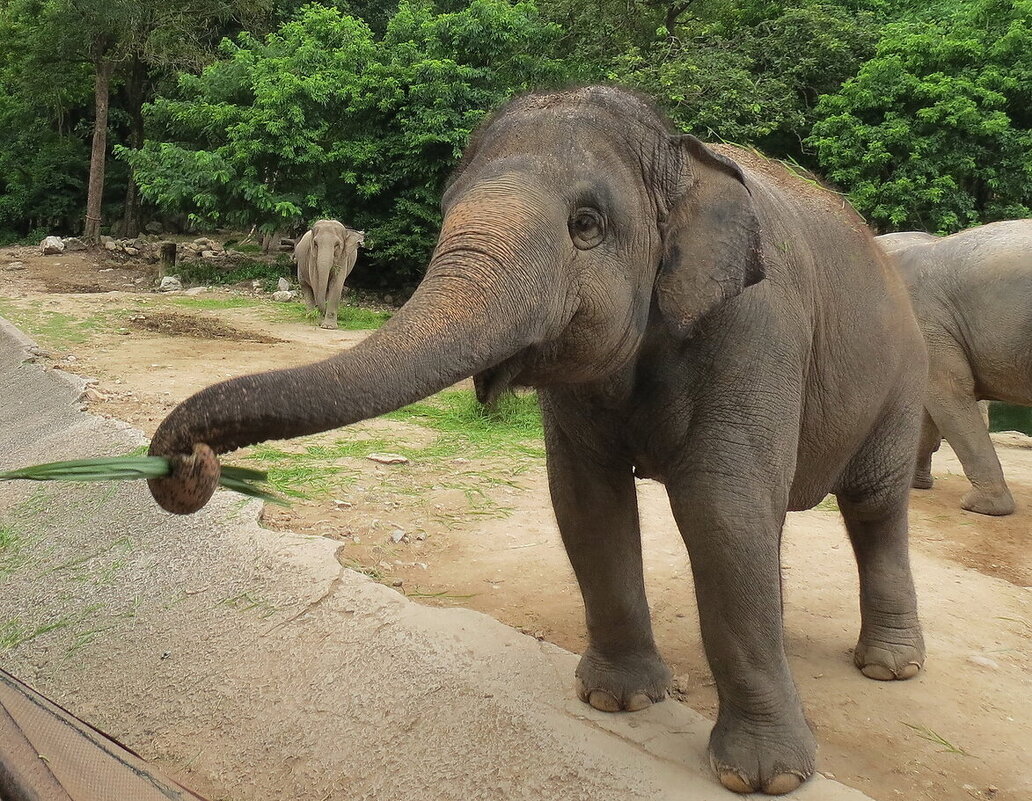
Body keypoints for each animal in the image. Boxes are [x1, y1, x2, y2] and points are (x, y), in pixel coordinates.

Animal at [145, 87, 928, 792]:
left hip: (900, 384)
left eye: (587, 224)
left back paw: (890, 668)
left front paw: (764, 777)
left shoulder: (756, 328)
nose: (188, 461)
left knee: (874, 506)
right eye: (445, 211)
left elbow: (721, 507)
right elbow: (584, 498)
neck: (680, 158)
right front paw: (617, 700)